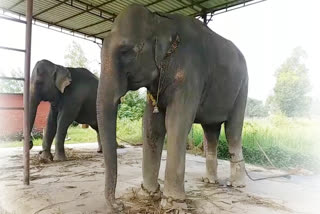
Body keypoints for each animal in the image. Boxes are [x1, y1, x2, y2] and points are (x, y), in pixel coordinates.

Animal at [96, 4, 249, 211]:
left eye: (127, 51)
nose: (119, 205)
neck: (160, 21)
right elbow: (151, 125)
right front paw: (148, 194)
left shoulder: (190, 74)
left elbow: (176, 122)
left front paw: (172, 205)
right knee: (211, 131)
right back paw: (210, 181)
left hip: (242, 88)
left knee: (233, 130)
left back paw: (237, 185)